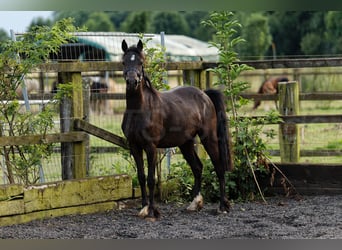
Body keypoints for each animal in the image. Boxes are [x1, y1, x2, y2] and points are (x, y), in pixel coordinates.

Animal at [120, 39, 232, 221]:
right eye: (123, 62)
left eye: (141, 62)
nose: (132, 81)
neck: (139, 109)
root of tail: (204, 95)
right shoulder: (134, 146)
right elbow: (141, 177)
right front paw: (144, 207)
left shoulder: (151, 147)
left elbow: (151, 179)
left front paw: (152, 211)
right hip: (185, 143)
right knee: (197, 167)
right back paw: (195, 203)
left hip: (208, 138)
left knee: (218, 166)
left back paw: (222, 206)